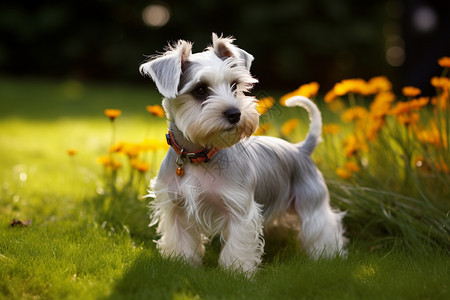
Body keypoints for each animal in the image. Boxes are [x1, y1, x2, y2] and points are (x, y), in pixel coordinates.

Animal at [140, 32, 344, 274]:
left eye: (234, 85)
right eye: (200, 90)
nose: (234, 113)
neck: (197, 156)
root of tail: (300, 148)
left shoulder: (240, 210)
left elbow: (238, 245)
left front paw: (236, 272)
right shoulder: (175, 207)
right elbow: (180, 240)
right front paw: (181, 263)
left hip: (312, 204)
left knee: (323, 228)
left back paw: (328, 256)